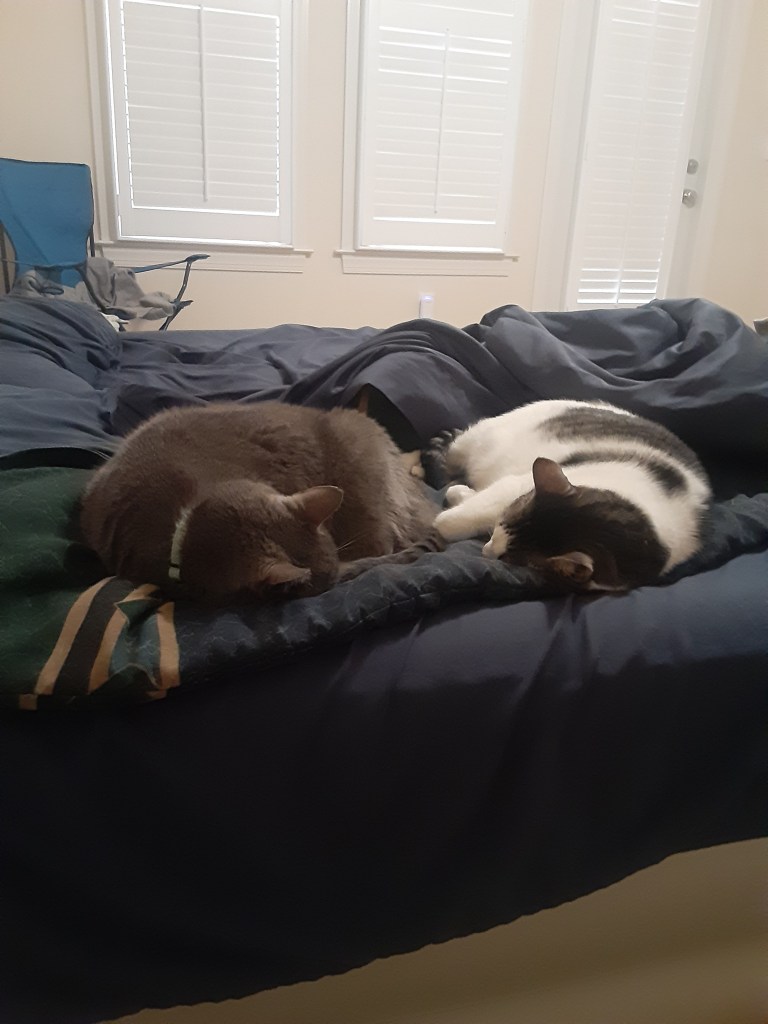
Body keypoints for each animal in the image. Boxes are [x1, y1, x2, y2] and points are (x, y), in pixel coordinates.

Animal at [427, 399, 712, 592]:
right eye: (500, 525)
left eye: (508, 559)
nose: (486, 550)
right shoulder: (513, 486)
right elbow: (455, 517)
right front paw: (452, 507)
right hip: (477, 440)